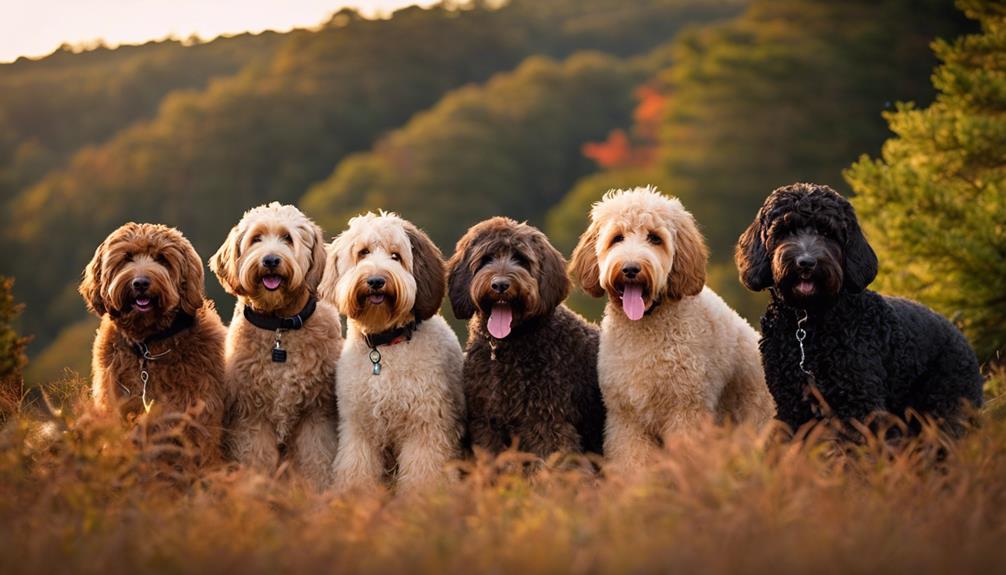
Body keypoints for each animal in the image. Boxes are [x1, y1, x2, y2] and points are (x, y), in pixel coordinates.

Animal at [209, 204, 342, 486]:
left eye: (288, 238)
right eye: (256, 239)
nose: (270, 260)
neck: (280, 326)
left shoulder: (316, 415)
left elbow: (317, 462)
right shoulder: (251, 417)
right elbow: (256, 462)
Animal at [319, 213, 464, 492]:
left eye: (396, 256)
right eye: (363, 252)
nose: (376, 281)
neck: (384, 346)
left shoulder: (426, 427)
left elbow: (423, 475)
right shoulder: (359, 429)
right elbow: (357, 472)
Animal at [571, 187, 772, 466]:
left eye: (655, 238)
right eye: (617, 238)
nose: (631, 268)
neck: (645, 326)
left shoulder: (686, 412)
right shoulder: (625, 419)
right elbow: (632, 463)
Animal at [732, 183, 981, 436]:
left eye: (827, 233)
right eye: (785, 231)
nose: (806, 263)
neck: (807, 325)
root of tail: (959, 335)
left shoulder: (858, 402)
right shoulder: (792, 404)